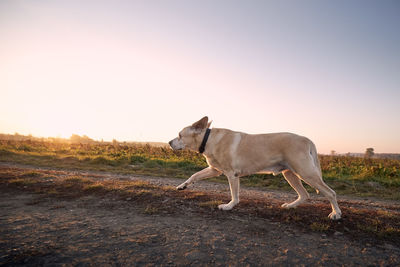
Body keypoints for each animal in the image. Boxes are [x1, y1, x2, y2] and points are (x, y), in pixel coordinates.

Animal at [169, 116, 340, 220]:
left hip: (306, 173)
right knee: (304, 194)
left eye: (180, 135)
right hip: (290, 174)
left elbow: (234, 195)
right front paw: (182, 186)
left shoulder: (231, 175)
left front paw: (229, 206)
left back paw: (336, 213)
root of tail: (307, 139)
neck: (208, 139)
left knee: (330, 192)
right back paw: (290, 206)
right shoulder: (214, 170)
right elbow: (194, 175)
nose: (169, 142)